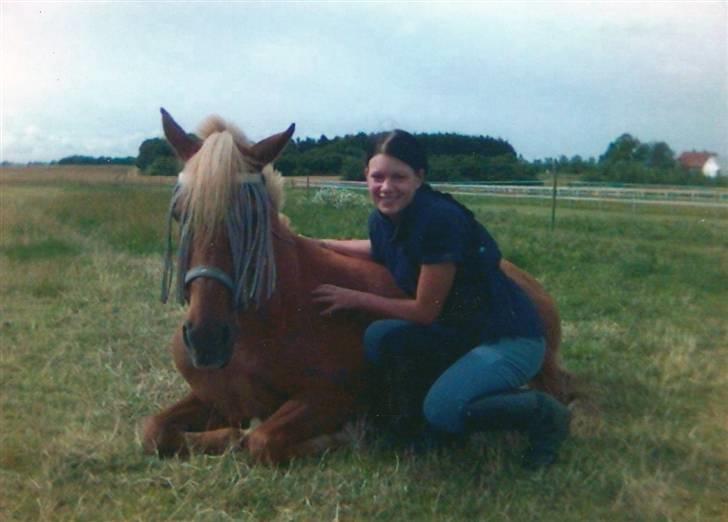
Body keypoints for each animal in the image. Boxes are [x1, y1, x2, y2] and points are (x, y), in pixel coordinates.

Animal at [141, 107, 576, 462]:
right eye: (179, 212)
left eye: (253, 216)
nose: (207, 340)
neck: (271, 321)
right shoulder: (216, 396)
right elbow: (153, 431)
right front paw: (222, 436)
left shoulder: (330, 398)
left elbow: (261, 441)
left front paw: (337, 438)